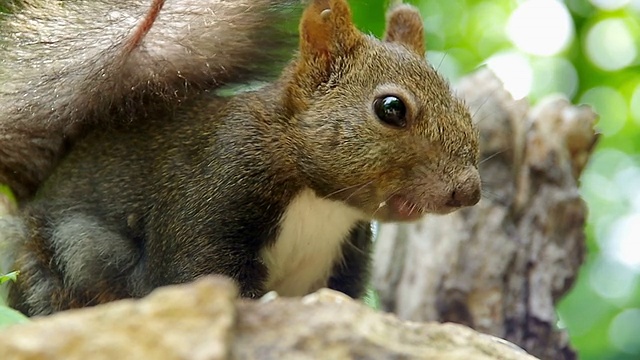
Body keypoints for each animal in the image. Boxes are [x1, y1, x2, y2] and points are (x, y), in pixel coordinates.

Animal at [0, 0, 480, 316]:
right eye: (391, 109)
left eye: (462, 104)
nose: (469, 191)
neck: (320, 202)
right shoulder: (212, 195)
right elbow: (199, 274)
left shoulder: (340, 260)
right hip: (69, 257)